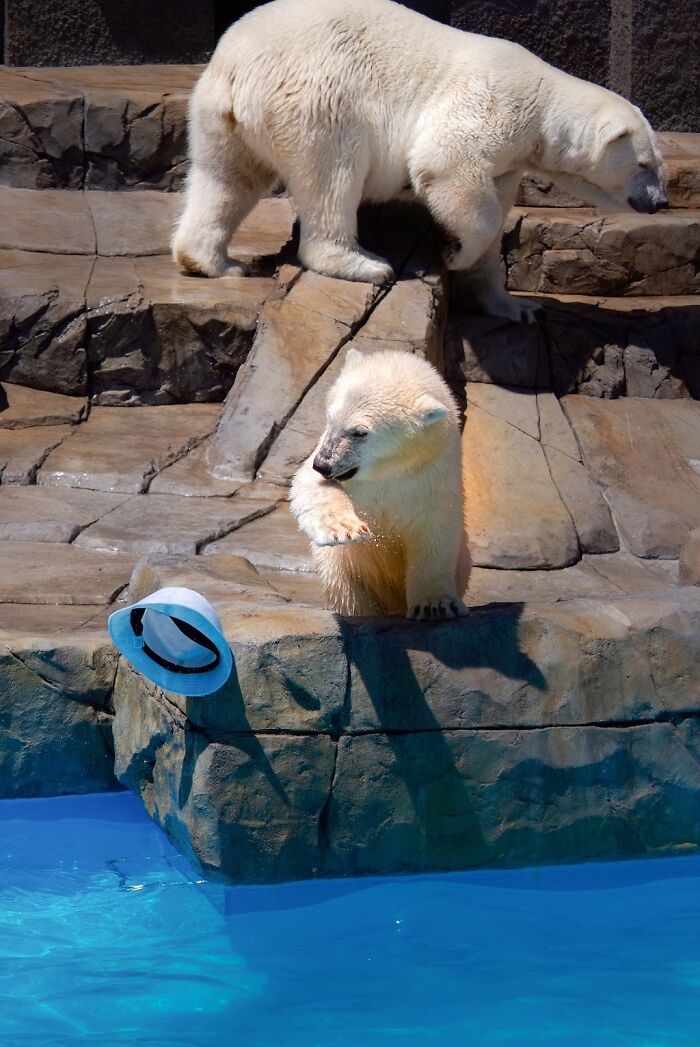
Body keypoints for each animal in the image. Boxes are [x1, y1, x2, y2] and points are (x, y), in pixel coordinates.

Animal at [171, 0, 665, 322]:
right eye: (644, 164)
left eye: (657, 162)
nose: (660, 201)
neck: (541, 106)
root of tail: (236, 65)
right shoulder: (493, 103)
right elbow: (447, 166)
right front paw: (454, 253)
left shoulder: (509, 161)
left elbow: (495, 210)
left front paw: (514, 306)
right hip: (317, 95)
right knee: (332, 174)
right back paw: (364, 262)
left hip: (217, 114)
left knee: (226, 178)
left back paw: (213, 262)